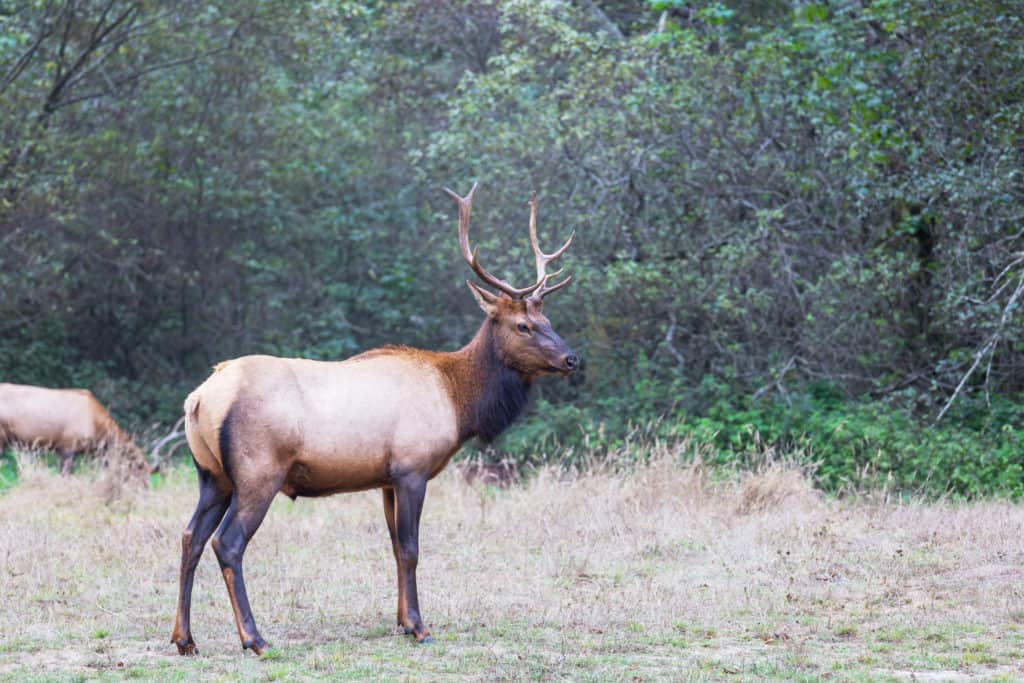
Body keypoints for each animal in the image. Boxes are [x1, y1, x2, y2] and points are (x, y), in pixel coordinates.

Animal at [172, 183, 581, 655]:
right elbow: (411, 547)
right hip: (258, 471)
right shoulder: (412, 468)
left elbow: (392, 546)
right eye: (522, 326)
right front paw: (420, 627)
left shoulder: (385, 477)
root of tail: (199, 399)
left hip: (211, 474)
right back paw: (254, 638)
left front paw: (402, 621)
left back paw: (184, 638)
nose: (572, 359)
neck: (459, 402)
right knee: (228, 541)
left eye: (547, 318)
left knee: (190, 536)